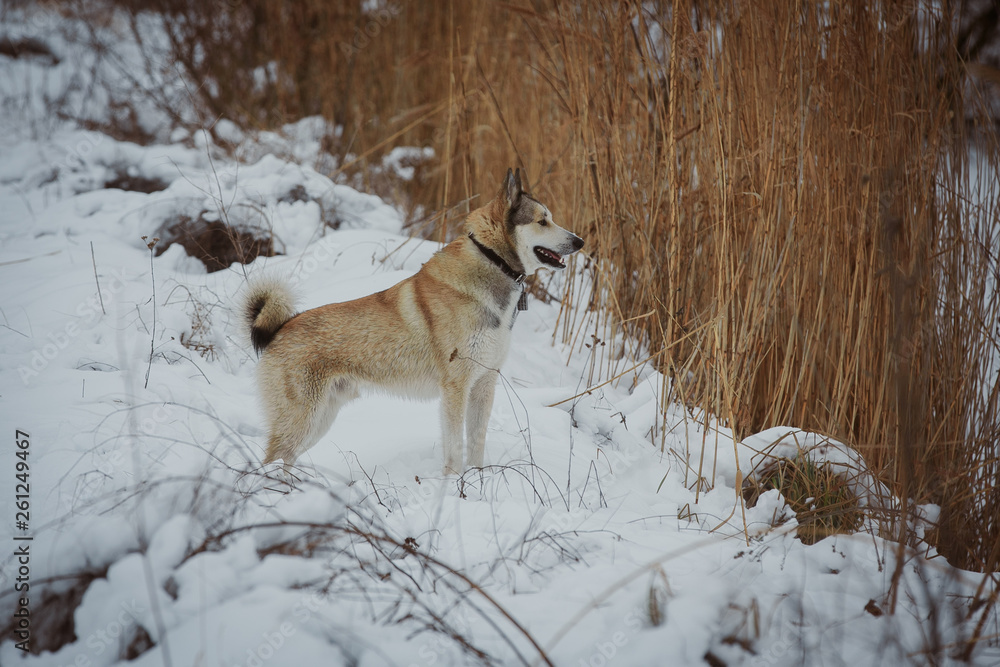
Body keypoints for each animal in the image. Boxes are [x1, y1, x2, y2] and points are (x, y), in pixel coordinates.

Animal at [244, 171, 584, 474]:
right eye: (542, 221)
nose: (580, 241)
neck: (491, 261)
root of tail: (280, 329)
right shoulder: (455, 388)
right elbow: (454, 449)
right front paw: (455, 485)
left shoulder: (484, 384)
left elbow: (476, 443)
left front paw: (478, 481)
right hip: (302, 419)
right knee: (270, 460)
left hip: (319, 419)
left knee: (285, 460)